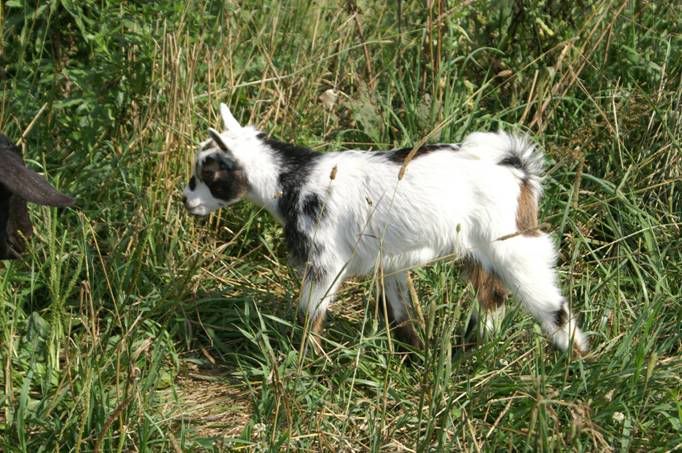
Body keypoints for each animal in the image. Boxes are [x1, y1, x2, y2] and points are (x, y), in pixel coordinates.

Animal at [182, 104, 588, 356]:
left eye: (208, 173)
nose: (187, 201)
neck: (294, 178)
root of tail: (517, 168)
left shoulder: (324, 262)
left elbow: (311, 313)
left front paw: (305, 362)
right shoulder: (390, 260)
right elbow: (400, 311)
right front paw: (415, 351)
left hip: (514, 246)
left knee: (552, 307)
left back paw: (578, 365)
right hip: (479, 250)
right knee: (492, 297)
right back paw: (467, 351)